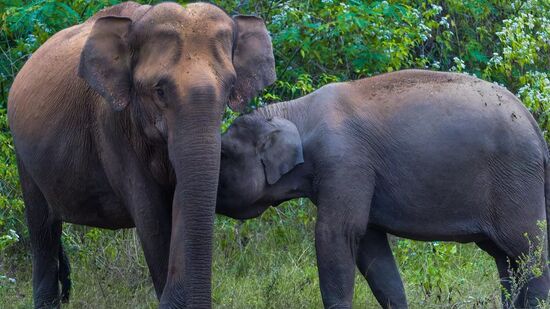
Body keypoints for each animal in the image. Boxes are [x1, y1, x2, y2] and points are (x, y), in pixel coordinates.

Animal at [7, 1, 276, 306]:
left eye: (230, 87)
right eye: (159, 90)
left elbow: (182, 201)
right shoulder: (112, 127)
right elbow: (151, 216)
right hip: (23, 154)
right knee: (42, 227)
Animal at [218, 70, 550, 308]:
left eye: (223, 154)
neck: (295, 111)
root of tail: (534, 125)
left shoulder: (345, 162)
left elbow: (337, 234)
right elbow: (370, 246)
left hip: (516, 180)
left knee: (528, 249)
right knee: (506, 258)